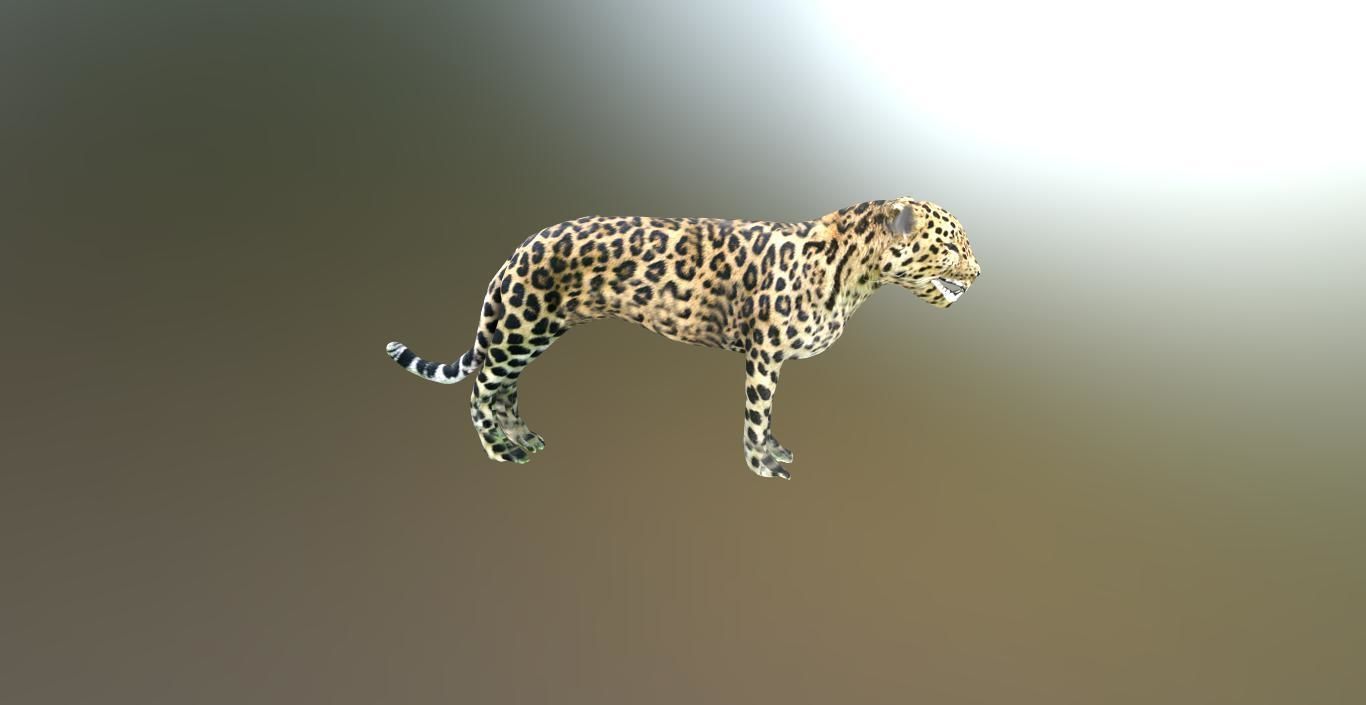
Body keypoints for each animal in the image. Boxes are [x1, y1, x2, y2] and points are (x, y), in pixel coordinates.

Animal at [385, 196, 980, 479]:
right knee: (479, 392)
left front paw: (772, 450)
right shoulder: (764, 355)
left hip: (534, 333)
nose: (979, 273)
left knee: (503, 390)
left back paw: (523, 438)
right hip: (519, 328)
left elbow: (768, 420)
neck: (856, 276)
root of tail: (519, 247)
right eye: (951, 245)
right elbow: (756, 415)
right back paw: (500, 451)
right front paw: (761, 464)